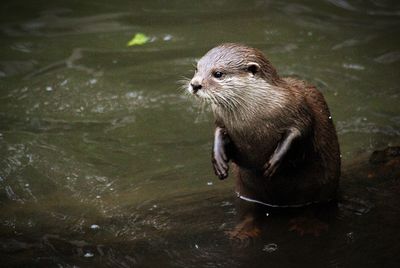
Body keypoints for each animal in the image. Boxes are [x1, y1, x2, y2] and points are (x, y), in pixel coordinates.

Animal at [188, 43, 340, 207]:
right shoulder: (221, 120)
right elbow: (218, 132)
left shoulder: (300, 110)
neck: (251, 121)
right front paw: (219, 162)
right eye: (196, 68)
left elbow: (298, 133)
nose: (195, 84)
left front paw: (274, 162)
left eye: (218, 73)